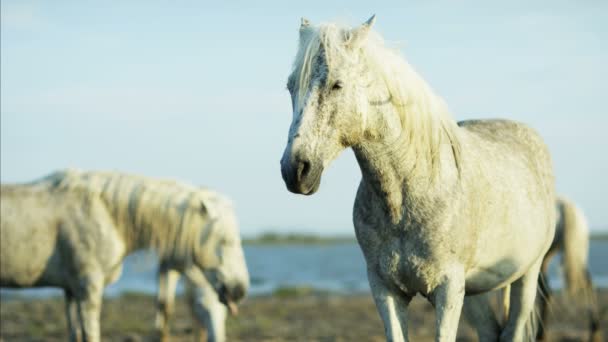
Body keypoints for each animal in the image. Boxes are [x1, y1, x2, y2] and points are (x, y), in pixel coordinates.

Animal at [280, 14, 556, 340]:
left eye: (337, 84)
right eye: (290, 86)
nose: (295, 170)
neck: (410, 191)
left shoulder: (448, 290)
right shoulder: (385, 289)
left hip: (526, 278)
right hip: (476, 291)